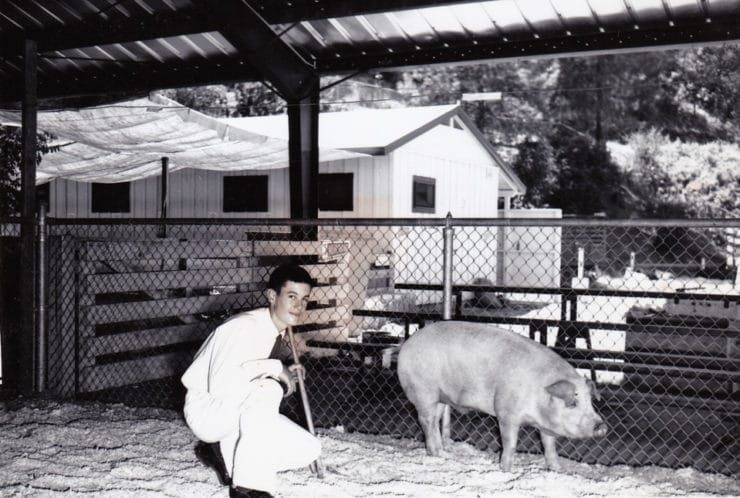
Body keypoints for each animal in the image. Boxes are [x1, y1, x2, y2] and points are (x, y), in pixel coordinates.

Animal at [398, 322, 608, 470]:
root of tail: (405, 346)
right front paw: (506, 469)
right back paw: (436, 454)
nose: (602, 426)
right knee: (426, 422)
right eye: (572, 402)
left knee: (435, 421)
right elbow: (510, 443)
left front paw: (557, 469)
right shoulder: (506, 412)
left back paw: (444, 454)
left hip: (440, 397)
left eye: (590, 401)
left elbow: (549, 446)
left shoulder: (545, 426)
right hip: (424, 392)